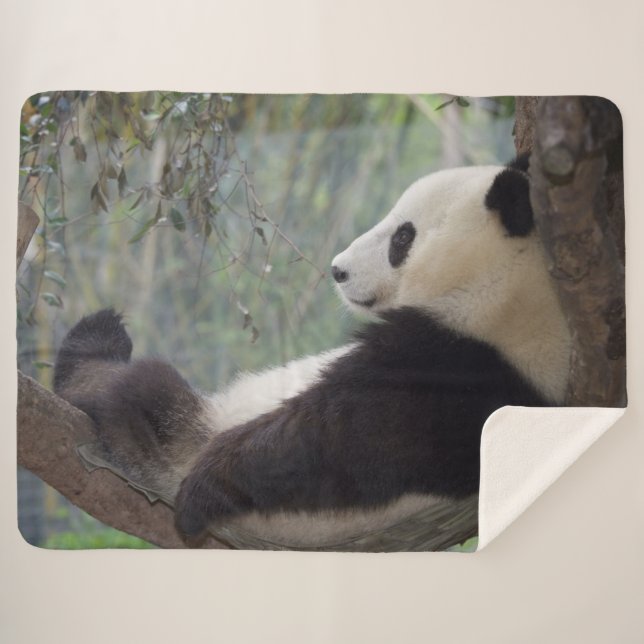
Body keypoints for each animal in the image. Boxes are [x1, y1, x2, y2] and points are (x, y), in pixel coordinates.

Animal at [53, 157, 572, 548]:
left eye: (403, 237)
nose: (339, 270)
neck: (507, 289)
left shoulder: (459, 369)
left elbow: (328, 440)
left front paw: (207, 487)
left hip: (187, 437)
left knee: (141, 395)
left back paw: (95, 349)